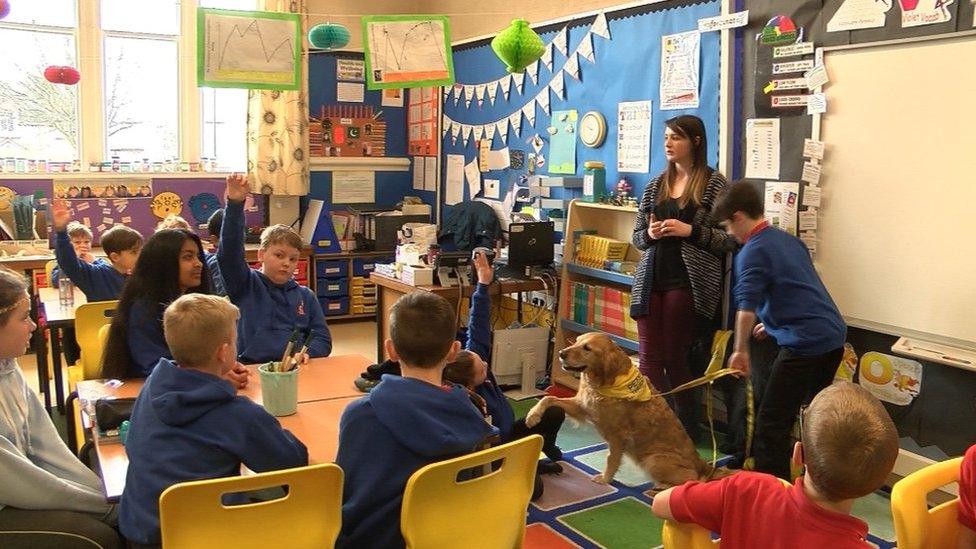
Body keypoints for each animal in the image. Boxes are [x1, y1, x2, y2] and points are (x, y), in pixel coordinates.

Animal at [528, 332, 724, 486]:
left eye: (587, 348)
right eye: (576, 341)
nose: (561, 353)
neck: (605, 382)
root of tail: (701, 462)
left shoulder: (618, 435)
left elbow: (611, 459)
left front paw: (605, 479)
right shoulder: (583, 407)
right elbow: (548, 398)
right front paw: (533, 416)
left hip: (654, 460)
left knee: (692, 480)